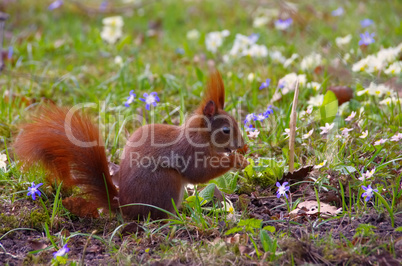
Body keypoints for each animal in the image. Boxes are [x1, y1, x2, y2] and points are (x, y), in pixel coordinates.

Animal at [13, 70, 248, 218]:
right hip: (166, 182)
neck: (199, 135)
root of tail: (125, 206)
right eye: (226, 130)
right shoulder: (188, 152)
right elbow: (199, 173)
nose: (241, 145)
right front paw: (236, 161)